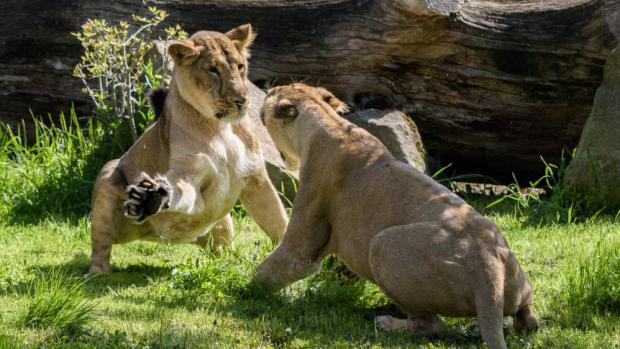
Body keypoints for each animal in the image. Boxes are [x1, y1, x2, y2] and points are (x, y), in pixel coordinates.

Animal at [88, 25, 288, 274]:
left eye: (240, 67)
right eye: (213, 70)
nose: (241, 99)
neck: (221, 128)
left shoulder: (255, 176)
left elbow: (277, 217)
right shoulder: (189, 173)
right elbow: (179, 188)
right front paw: (151, 197)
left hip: (222, 223)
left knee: (221, 243)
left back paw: (227, 263)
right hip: (107, 178)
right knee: (100, 243)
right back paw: (99, 272)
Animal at [252, 83, 536, 348]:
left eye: (275, 93)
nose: (269, 89)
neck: (327, 123)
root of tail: (489, 272)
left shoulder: (306, 233)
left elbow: (279, 265)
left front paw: (245, 293)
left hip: (382, 245)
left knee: (432, 325)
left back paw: (388, 323)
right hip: (506, 259)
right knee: (529, 318)